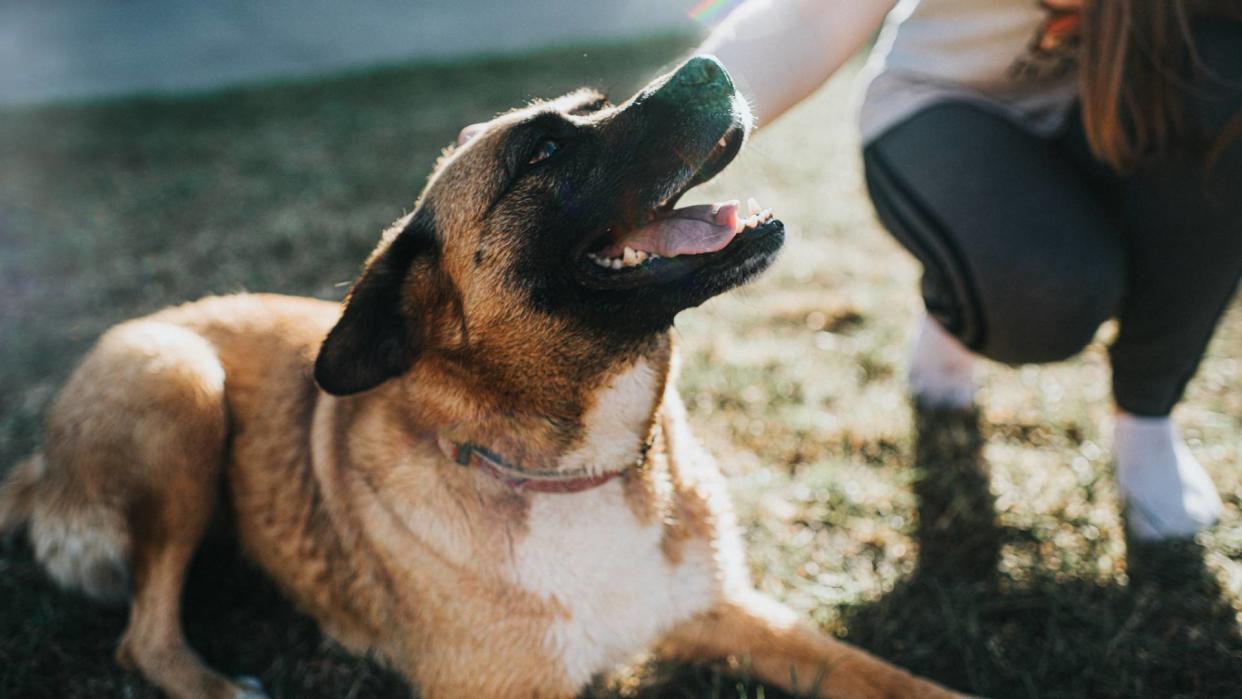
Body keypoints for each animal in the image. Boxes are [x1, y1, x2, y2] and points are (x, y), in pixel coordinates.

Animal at [0, 56, 958, 699]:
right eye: (541, 153)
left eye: (596, 108)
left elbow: (890, 677)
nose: (710, 63)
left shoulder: (729, 610)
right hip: (182, 382)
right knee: (143, 635)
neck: (577, 465)